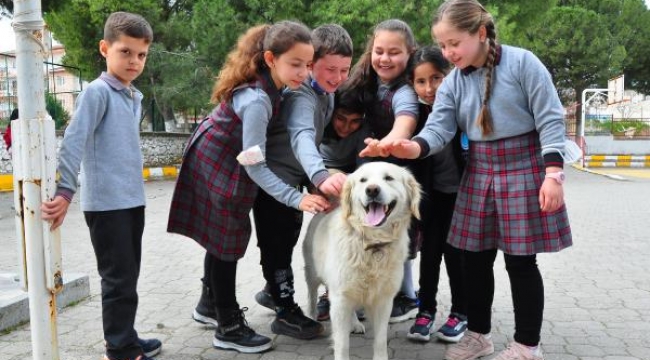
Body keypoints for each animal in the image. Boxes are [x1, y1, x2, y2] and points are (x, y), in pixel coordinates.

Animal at [304, 162, 420, 360]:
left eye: (389, 178)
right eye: (363, 180)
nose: (372, 190)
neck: (373, 244)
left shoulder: (383, 299)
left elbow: (380, 339)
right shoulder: (340, 297)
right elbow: (342, 343)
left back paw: (355, 324)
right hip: (313, 274)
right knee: (311, 298)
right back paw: (311, 319)